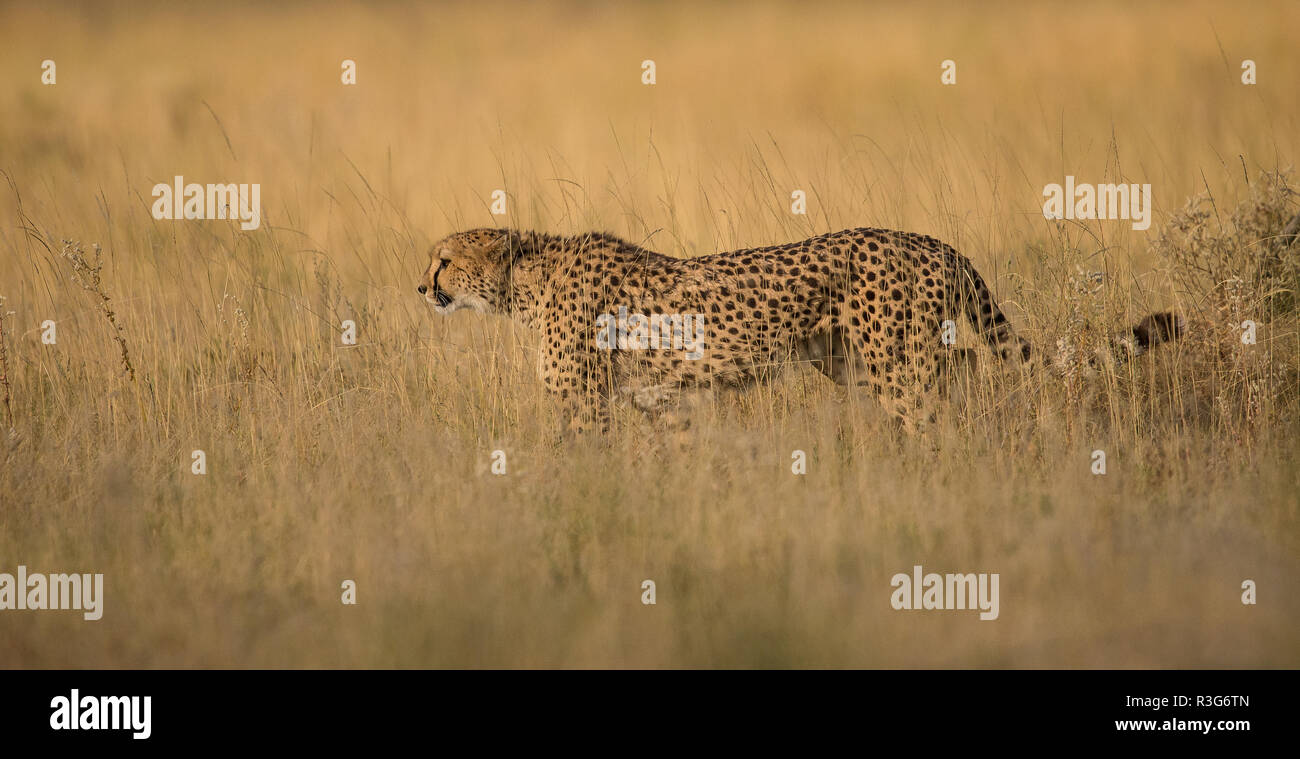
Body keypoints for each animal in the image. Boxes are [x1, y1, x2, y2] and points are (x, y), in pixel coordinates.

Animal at [413, 227, 1180, 434]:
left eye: (444, 258)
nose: (421, 287)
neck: (526, 282)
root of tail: (930, 240)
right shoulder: (660, 401)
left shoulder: (585, 401)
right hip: (856, 361)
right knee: (960, 372)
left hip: (892, 360)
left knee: (933, 398)